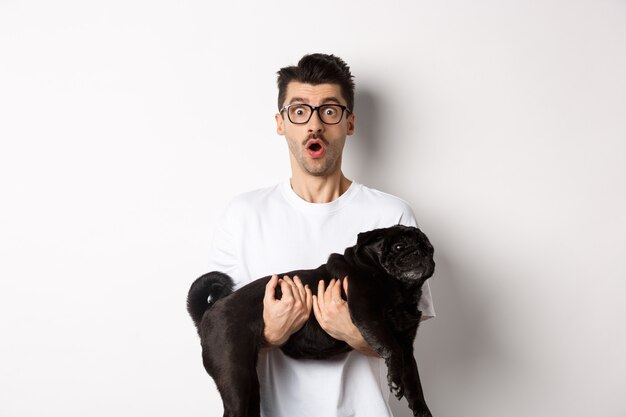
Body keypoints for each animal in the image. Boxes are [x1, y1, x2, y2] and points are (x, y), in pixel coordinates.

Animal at [186, 224, 434, 416]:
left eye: (430, 249)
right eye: (399, 247)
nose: (419, 253)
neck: (400, 290)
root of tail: (209, 311)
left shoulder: (407, 346)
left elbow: (415, 384)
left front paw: (422, 410)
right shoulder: (368, 316)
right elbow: (391, 348)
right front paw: (395, 380)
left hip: (250, 383)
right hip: (235, 379)